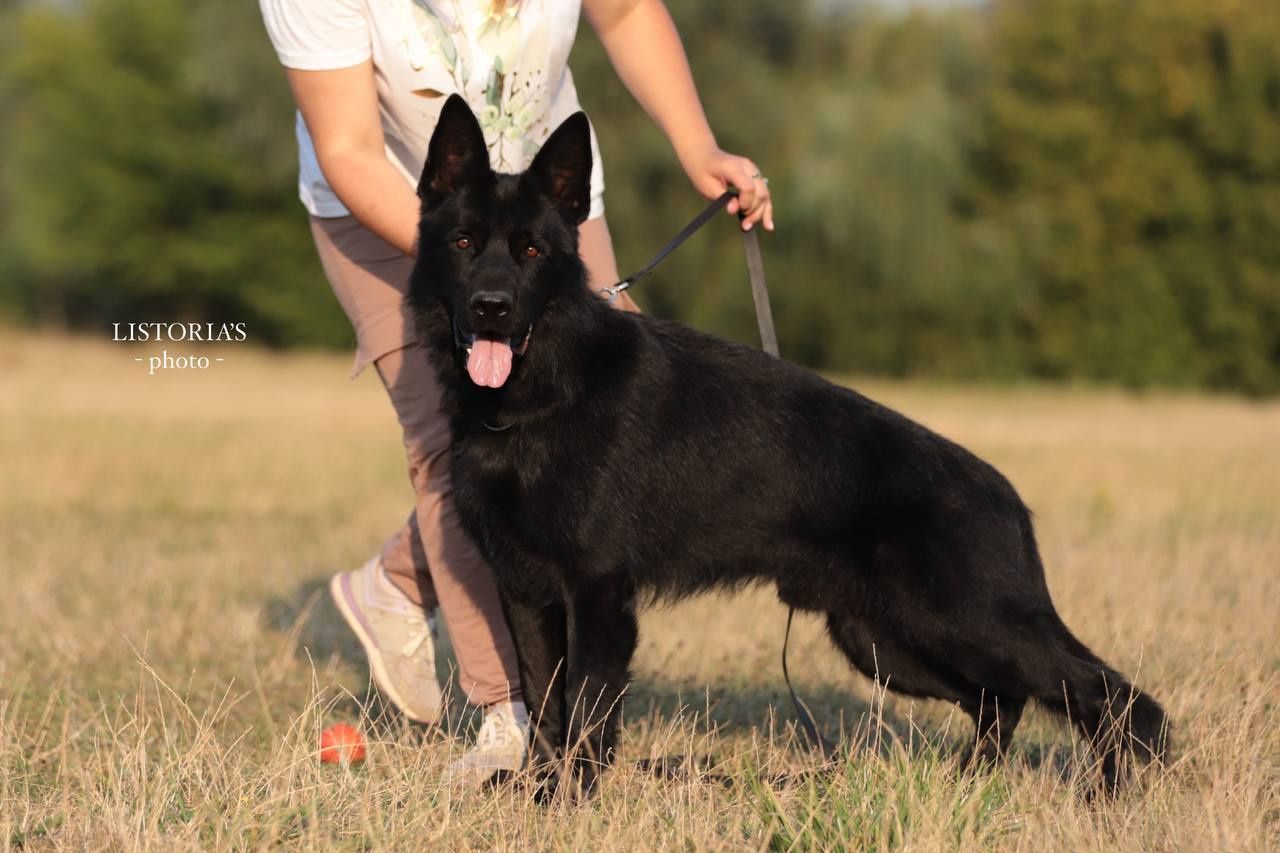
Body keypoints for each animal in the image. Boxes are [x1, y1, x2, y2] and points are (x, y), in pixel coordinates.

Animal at [409, 96, 1172, 794]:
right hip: (889, 642)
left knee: (1106, 695)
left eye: (533, 251)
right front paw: (539, 794)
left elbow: (588, 712)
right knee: (1002, 701)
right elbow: (544, 706)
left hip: (973, 626)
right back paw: (970, 785)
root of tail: (1007, 497)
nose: (491, 309)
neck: (537, 398)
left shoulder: (597, 596)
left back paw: (1107, 795)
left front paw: (573, 803)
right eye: (464, 243)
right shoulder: (526, 594)